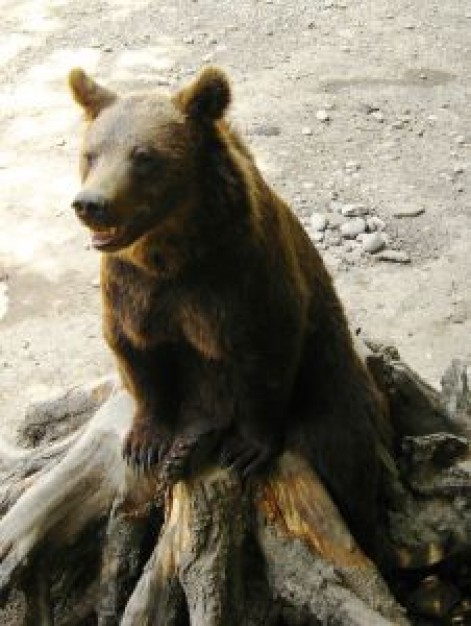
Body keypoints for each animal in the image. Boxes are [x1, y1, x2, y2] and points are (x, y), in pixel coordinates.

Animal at [69, 66, 394, 552]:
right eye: (91, 153)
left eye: (143, 156)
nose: (91, 203)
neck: (171, 253)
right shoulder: (134, 290)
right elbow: (138, 355)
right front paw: (145, 443)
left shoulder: (236, 279)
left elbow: (265, 356)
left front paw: (247, 447)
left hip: (330, 381)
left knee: (343, 449)